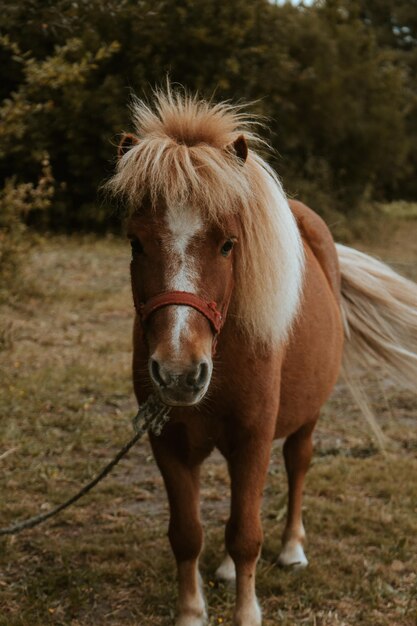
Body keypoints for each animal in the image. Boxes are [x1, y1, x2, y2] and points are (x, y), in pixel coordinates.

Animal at [106, 86, 416, 624]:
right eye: (135, 243)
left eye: (229, 244)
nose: (179, 374)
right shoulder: (168, 442)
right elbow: (187, 534)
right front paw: (191, 611)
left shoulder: (253, 436)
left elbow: (246, 533)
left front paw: (247, 612)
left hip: (306, 417)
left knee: (297, 464)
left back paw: (291, 549)